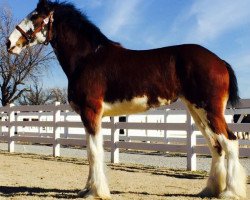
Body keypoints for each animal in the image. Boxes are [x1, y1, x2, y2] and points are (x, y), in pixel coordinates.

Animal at [5, 0, 246, 199]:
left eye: (35, 16)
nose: (9, 43)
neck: (88, 58)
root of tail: (219, 61)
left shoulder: (91, 113)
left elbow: (94, 152)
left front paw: (95, 192)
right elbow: (91, 152)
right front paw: (87, 189)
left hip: (209, 110)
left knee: (230, 142)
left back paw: (230, 192)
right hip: (197, 112)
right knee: (216, 146)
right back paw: (210, 190)